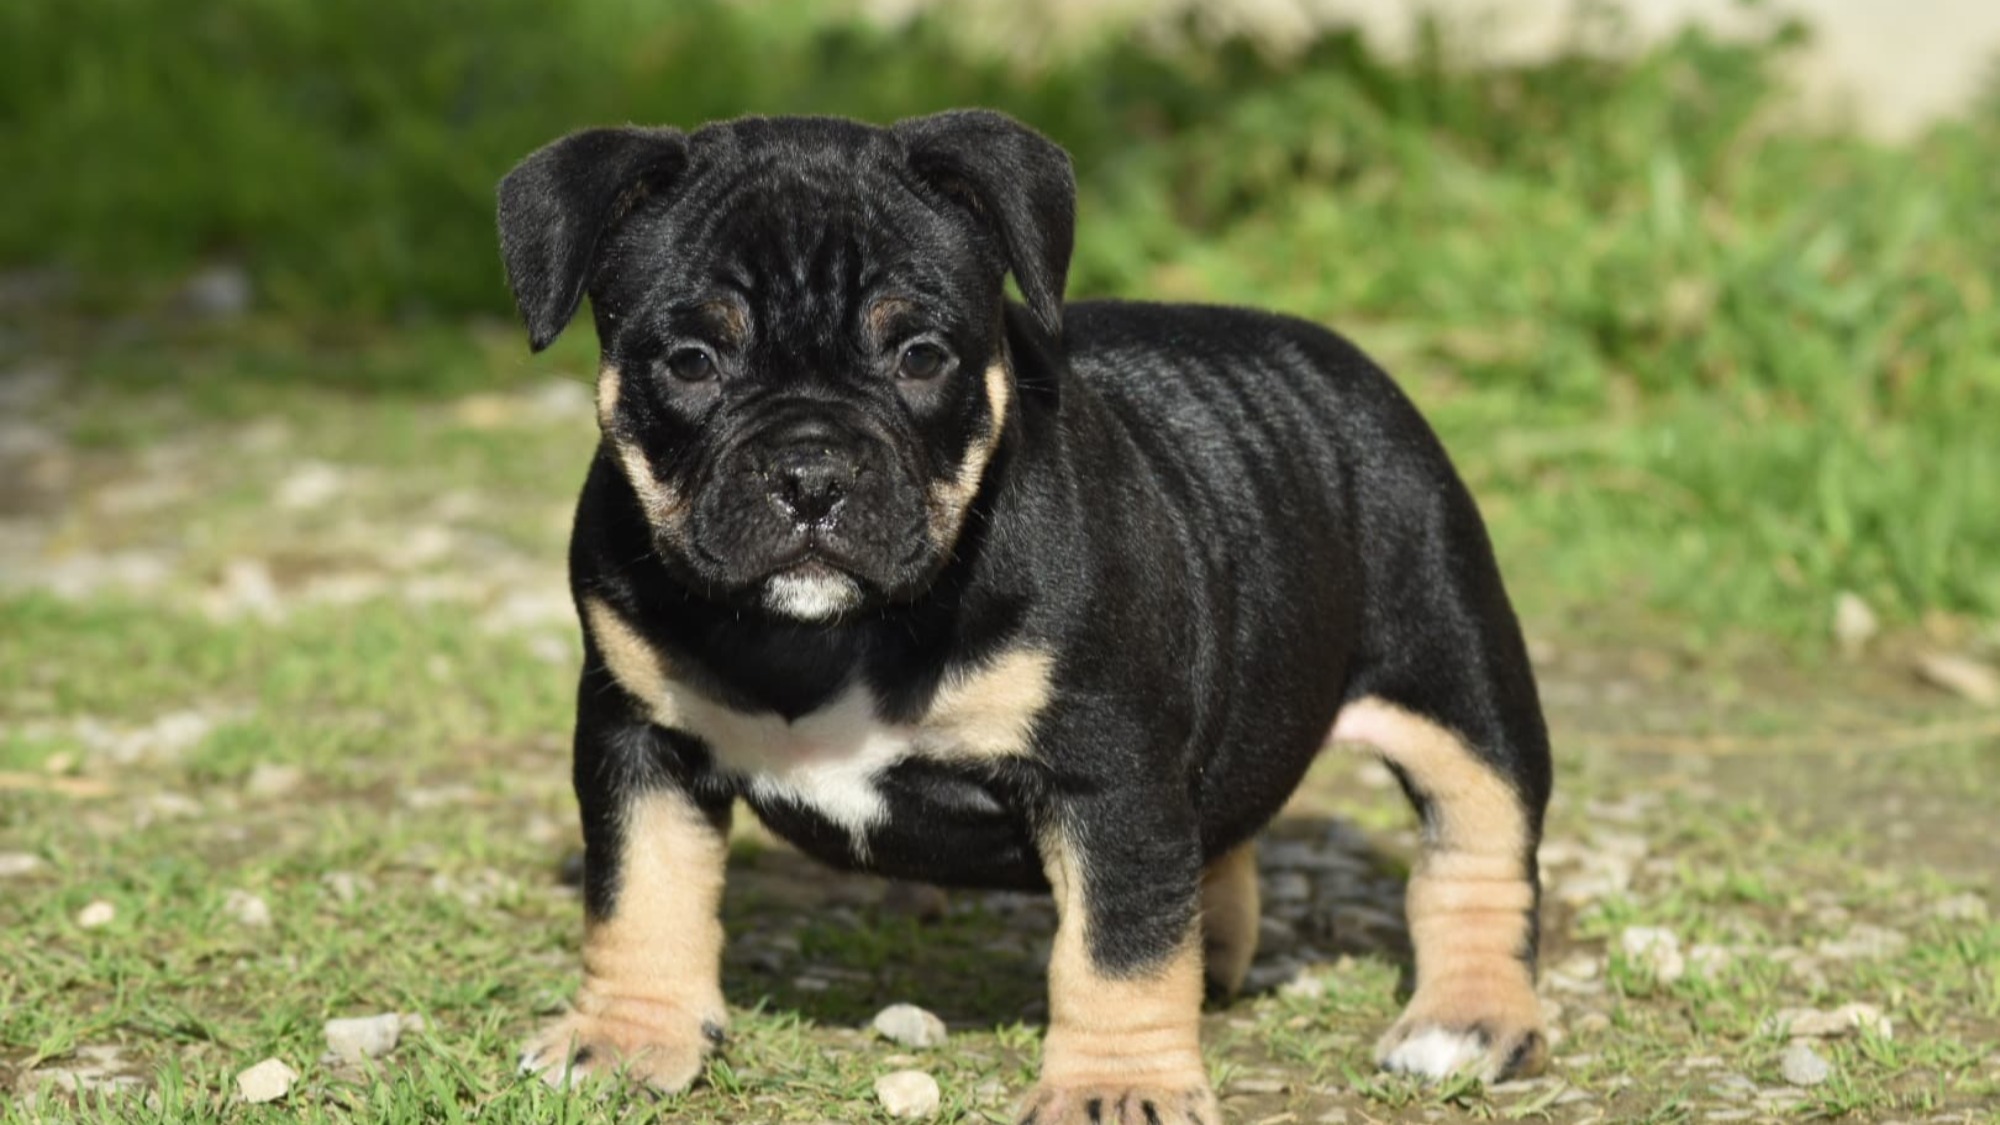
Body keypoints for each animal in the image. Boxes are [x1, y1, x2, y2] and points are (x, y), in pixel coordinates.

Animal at [492, 111, 1552, 1120]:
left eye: (921, 356)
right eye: (689, 361)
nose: (811, 471)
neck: (828, 635)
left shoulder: (1109, 776)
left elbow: (1118, 944)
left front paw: (1117, 1086)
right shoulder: (639, 736)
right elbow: (640, 890)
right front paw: (626, 1035)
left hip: (1452, 671)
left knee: (1477, 841)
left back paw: (1468, 1019)